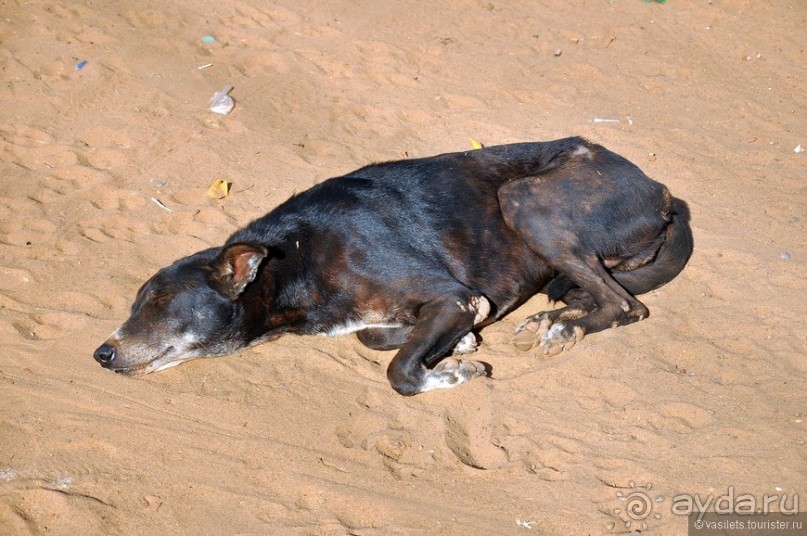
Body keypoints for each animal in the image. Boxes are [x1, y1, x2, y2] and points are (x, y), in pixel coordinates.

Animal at [93, 138, 688, 396]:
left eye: (162, 304)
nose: (101, 353)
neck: (296, 257)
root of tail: (661, 190)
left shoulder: (455, 296)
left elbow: (399, 371)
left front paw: (453, 370)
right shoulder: (446, 305)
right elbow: (373, 337)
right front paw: (460, 345)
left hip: (524, 200)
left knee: (627, 305)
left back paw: (563, 327)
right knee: (602, 294)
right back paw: (551, 319)